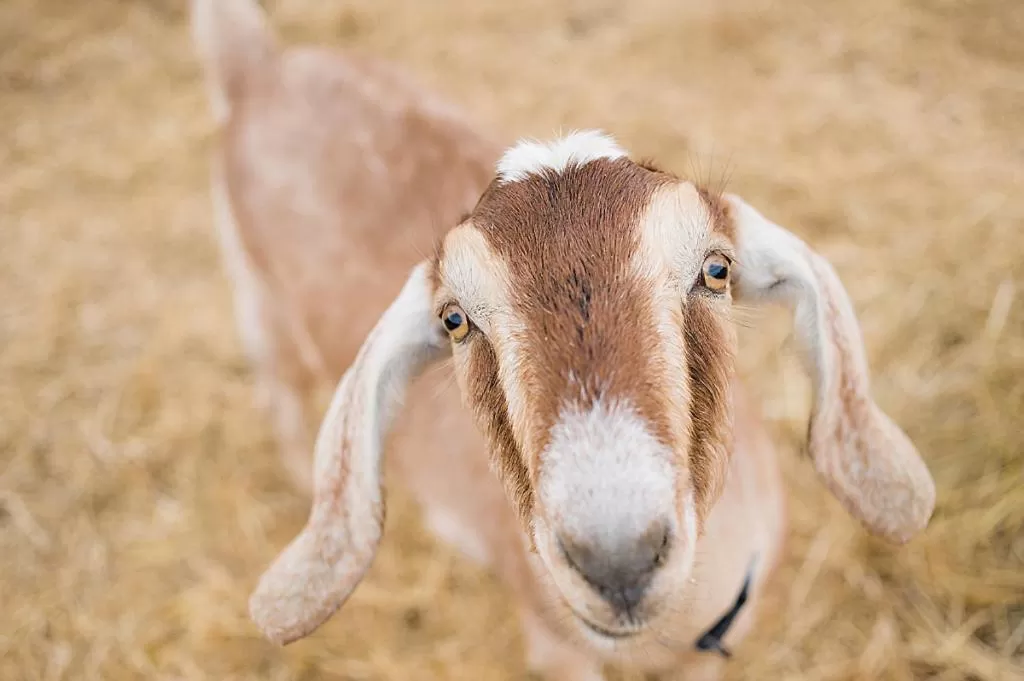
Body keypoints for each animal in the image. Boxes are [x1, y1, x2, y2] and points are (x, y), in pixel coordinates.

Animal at [191, 2, 937, 679]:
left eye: (717, 269)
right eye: (455, 320)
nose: (617, 556)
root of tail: (259, 66)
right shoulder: (557, 649)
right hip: (256, 293)